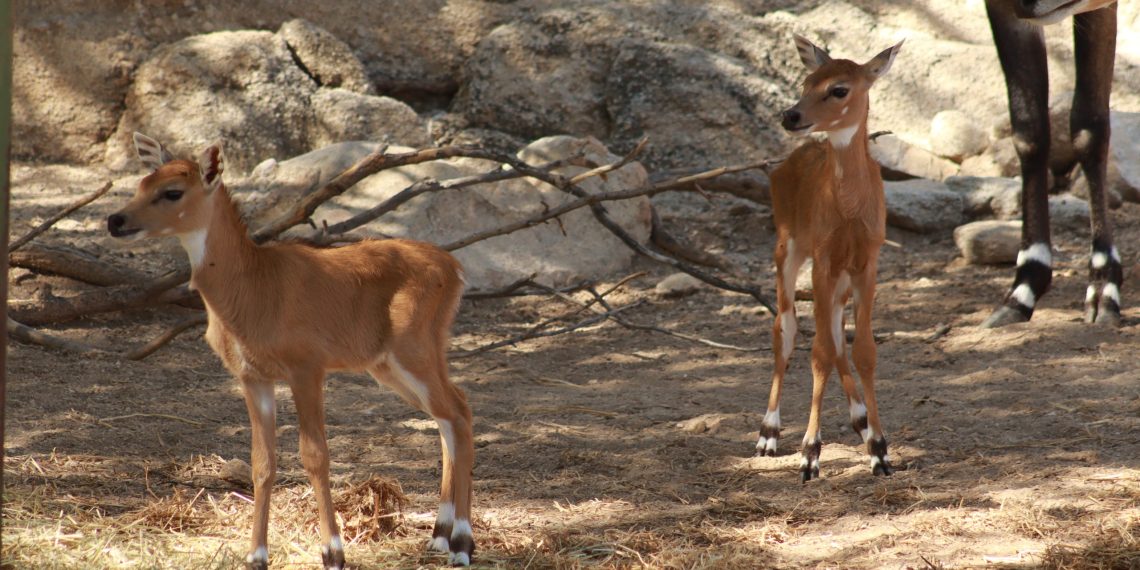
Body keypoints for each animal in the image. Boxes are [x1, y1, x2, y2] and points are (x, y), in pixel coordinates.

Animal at [106, 134, 476, 568]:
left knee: (458, 413)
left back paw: (462, 543)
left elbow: (315, 455)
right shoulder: (252, 376)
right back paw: (439, 536)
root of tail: (455, 268)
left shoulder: (307, 366)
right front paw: (256, 555)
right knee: (449, 414)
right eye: (141, 183)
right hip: (391, 362)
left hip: (413, 346)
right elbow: (262, 463)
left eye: (172, 191)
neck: (251, 291)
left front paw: (333, 552)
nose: (116, 221)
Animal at [755, 36, 902, 482]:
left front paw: (880, 450)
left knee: (836, 334)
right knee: (785, 329)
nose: (791, 115)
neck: (850, 211)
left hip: (838, 277)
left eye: (839, 89)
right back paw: (768, 433)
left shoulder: (867, 261)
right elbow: (817, 351)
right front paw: (809, 455)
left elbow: (864, 350)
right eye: (806, 81)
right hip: (788, 247)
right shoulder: (823, 257)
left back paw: (860, 421)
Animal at [982, 0, 1121, 327]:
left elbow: (1089, 129)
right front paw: (1023, 289)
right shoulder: (1003, 9)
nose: (1025, 5)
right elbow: (1029, 130)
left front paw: (1103, 291)